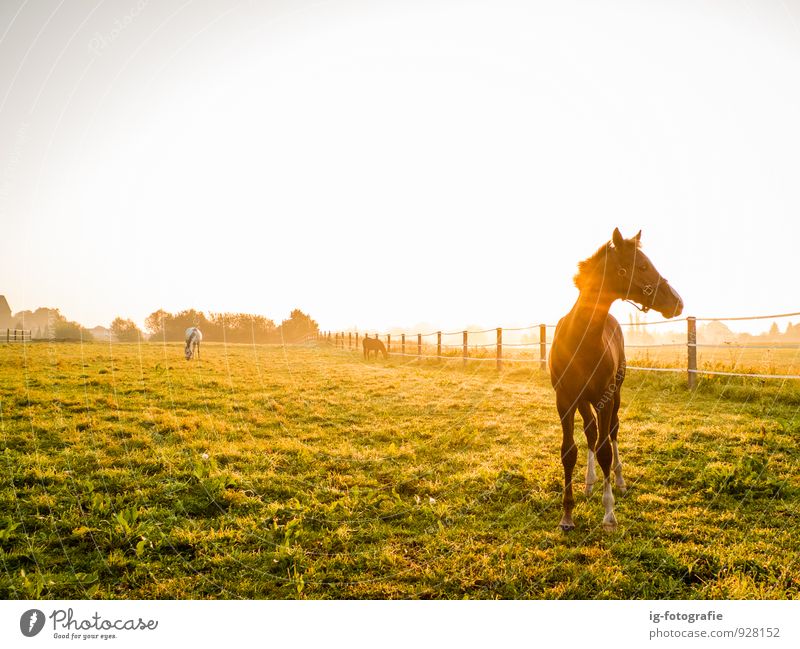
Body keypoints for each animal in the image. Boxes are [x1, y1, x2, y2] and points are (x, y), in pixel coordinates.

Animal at [552, 229, 680, 532]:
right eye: (642, 266)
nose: (677, 302)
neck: (581, 340)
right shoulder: (565, 400)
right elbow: (569, 451)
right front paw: (567, 515)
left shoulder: (605, 397)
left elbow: (605, 451)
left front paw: (609, 513)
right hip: (584, 401)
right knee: (591, 431)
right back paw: (589, 483)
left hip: (615, 395)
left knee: (611, 431)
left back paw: (619, 481)